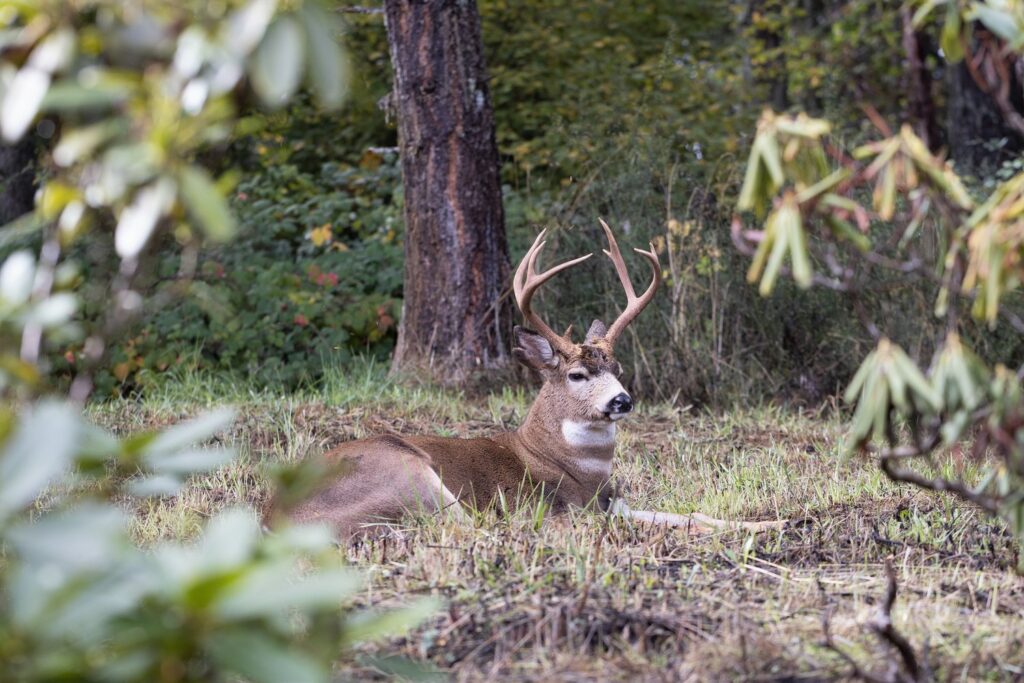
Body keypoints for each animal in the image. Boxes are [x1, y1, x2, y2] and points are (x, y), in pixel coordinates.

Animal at [292, 222, 786, 536]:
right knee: (470, 527)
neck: (576, 470)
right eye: (577, 373)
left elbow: (691, 514)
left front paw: (773, 522)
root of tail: (282, 517)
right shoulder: (564, 507)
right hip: (406, 472)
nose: (622, 401)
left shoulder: (615, 503)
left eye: (619, 369)